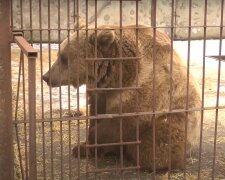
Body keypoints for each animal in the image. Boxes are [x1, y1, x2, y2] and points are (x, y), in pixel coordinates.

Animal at [43, 24, 201, 172]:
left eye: (63, 58)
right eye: (59, 54)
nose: (46, 77)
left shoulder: (145, 91)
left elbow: (119, 123)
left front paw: (93, 143)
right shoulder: (100, 92)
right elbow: (95, 114)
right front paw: (81, 147)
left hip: (178, 120)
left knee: (155, 146)